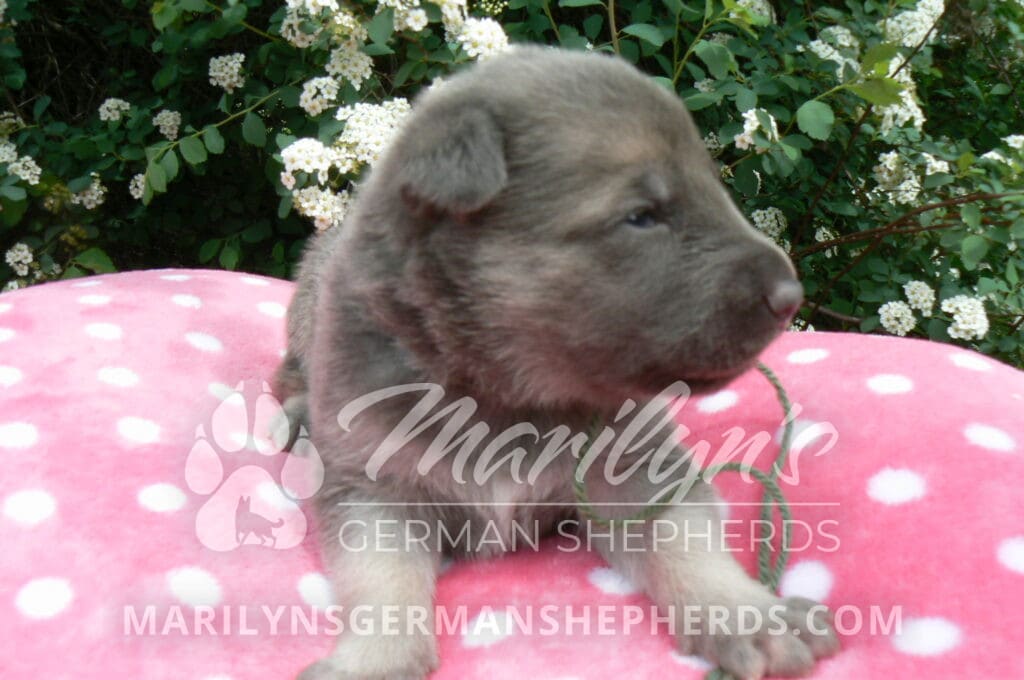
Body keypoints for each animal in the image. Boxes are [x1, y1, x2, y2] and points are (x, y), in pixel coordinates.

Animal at [275, 46, 837, 679]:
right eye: (642, 216)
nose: (791, 297)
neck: (503, 389)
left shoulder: (632, 471)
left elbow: (685, 540)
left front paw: (752, 616)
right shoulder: (372, 483)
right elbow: (380, 575)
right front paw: (373, 659)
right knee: (291, 374)